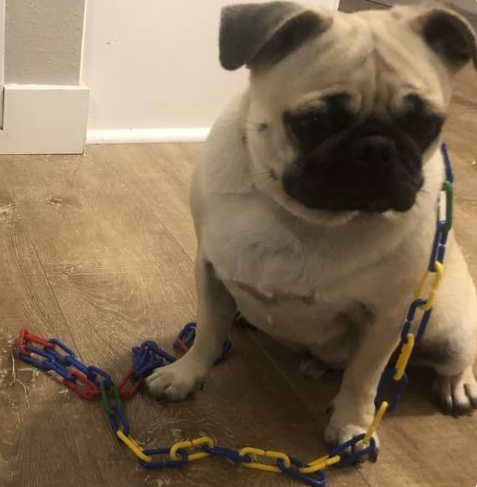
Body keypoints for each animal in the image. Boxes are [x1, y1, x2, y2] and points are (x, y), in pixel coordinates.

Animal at [148, 1, 477, 460]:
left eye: (425, 124)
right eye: (316, 121)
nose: (377, 148)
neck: (302, 218)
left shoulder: (386, 317)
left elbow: (362, 378)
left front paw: (353, 427)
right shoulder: (210, 271)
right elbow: (209, 333)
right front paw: (184, 374)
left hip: (450, 330)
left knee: (456, 358)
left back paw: (457, 385)